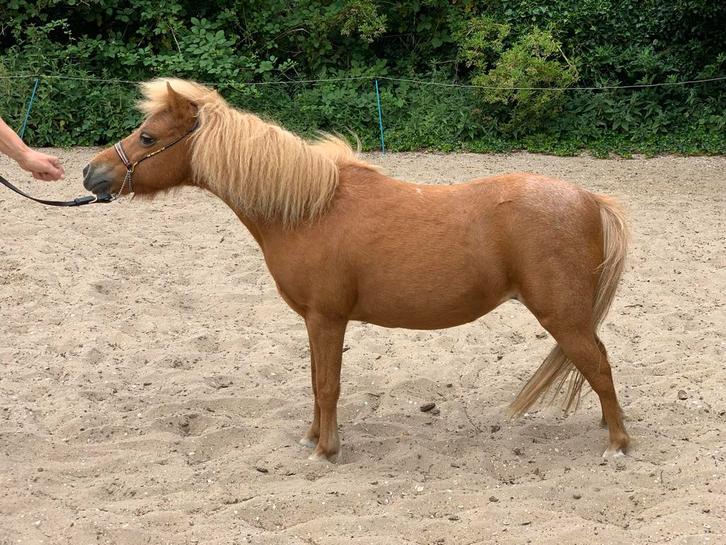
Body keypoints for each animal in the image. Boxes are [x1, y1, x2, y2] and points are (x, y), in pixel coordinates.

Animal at [82, 78, 630, 462]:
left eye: (148, 135)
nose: (92, 173)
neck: (309, 209)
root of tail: (590, 199)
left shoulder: (327, 318)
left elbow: (328, 385)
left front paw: (327, 450)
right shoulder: (313, 321)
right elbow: (314, 380)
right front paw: (312, 437)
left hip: (564, 316)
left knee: (599, 366)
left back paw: (618, 444)